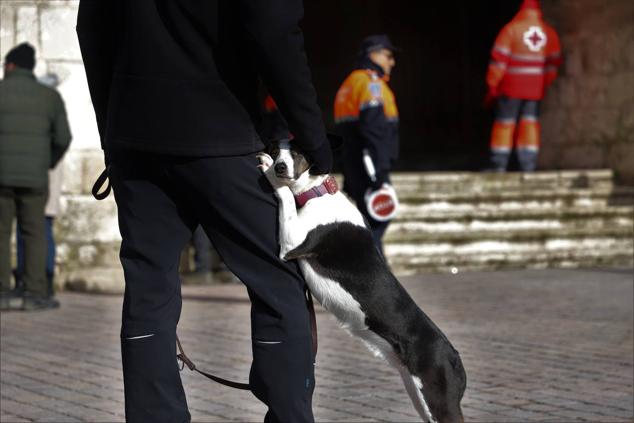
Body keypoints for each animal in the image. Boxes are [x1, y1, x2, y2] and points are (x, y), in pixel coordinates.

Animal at [256, 142, 464, 423]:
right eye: (276, 149)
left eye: (298, 151)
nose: (279, 166)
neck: (318, 193)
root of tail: (454, 357)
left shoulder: (291, 244)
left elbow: (286, 196)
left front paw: (270, 173)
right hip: (421, 397)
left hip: (438, 400)